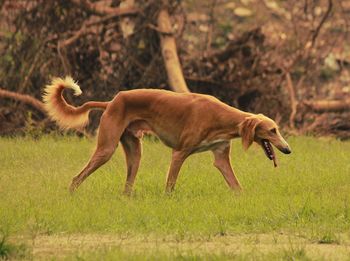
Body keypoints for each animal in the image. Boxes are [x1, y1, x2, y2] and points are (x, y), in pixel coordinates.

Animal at [42, 75, 292, 193]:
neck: (222, 118)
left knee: (127, 188)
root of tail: (112, 101)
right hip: (106, 148)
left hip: (135, 153)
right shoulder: (179, 153)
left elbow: (237, 187)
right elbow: (170, 186)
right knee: (77, 178)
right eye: (272, 130)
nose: (288, 149)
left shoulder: (221, 157)